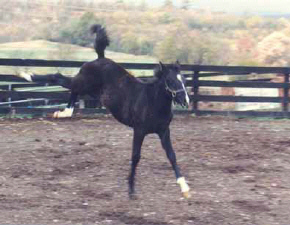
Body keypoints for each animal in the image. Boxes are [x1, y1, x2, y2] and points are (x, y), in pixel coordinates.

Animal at [18, 23, 190, 198]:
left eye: (183, 80)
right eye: (170, 81)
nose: (185, 100)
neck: (152, 102)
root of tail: (100, 58)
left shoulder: (163, 131)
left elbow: (172, 155)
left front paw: (184, 188)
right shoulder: (139, 130)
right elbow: (136, 157)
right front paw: (131, 189)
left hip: (88, 89)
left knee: (72, 90)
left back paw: (64, 112)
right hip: (83, 83)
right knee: (58, 77)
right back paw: (27, 75)